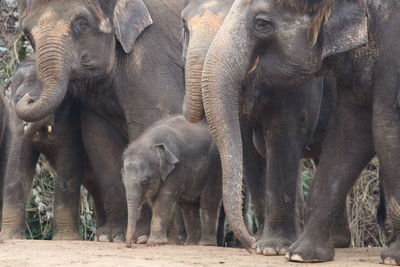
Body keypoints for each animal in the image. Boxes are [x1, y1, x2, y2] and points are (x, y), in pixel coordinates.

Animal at [10, 0, 186, 243]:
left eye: (82, 23)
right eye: (27, 34)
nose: (28, 96)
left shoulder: (153, 58)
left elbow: (151, 125)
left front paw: (143, 238)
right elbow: (100, 140)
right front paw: (112, 237)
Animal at [123, 116, 220, 248]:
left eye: (144, 182)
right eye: (123, 181)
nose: (130, 244)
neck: (149, 141)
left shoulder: (177, 167)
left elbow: (164, 197)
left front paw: (154, 243)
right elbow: (155, 201)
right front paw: (167, 242)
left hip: (216, 167)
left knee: (209, 200)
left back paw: (205, 244)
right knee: (188, 205)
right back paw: (191, 244)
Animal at [184, 0, 400, 264]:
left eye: (262, 24)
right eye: (183, 27)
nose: (248, 244)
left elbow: (285, 137)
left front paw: (273, 248)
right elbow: (349, 133)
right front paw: (297, 253)